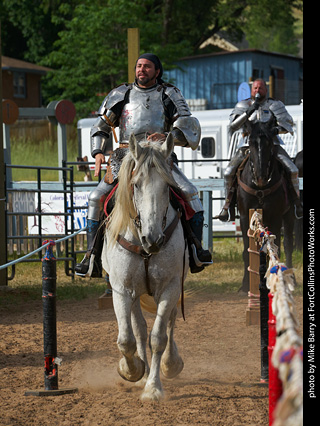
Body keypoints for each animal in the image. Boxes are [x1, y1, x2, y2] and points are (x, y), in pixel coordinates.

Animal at [101, 134, 189, 402]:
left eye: (167, 187)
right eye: (136, 184)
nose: (154, 239)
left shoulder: (170, 287)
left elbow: (158, 337)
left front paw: (153, 388)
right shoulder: (121, 290)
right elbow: (127, 339)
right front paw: (131, 370)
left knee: (170, 320)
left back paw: (171, 363)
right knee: (138, 329)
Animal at [238, 119, 296, 292]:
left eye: (269, 142)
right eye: (250, 142)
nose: (261, 177)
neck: (259, 189)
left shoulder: (276, 216)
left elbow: (277, 247)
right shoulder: (245, 216)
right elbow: (247, 251)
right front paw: (245, 285)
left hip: (288, 216)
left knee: (288, 244)